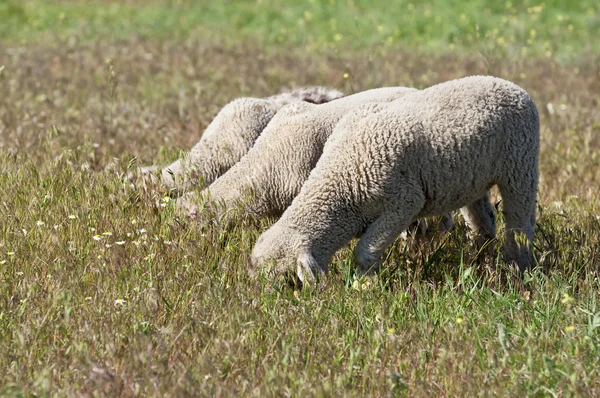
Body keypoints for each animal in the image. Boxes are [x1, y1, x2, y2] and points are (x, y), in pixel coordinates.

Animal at [251, 74, 540, 280]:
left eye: (289, 280)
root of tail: (511, 85)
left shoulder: (403, 202)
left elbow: (364, 253)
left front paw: (365, 284)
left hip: (520, 164)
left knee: (520, 224)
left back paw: (519, 266)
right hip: (471, 180)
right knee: (484, 222)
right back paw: (480, 260)